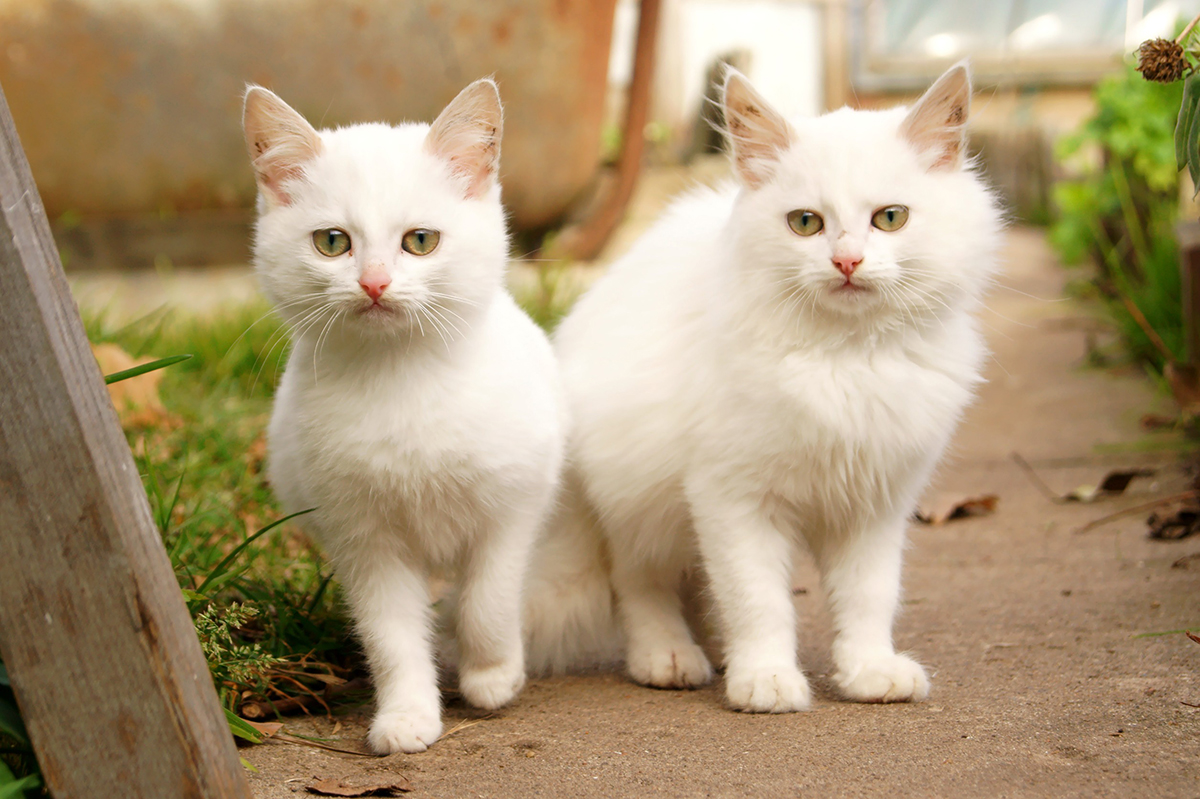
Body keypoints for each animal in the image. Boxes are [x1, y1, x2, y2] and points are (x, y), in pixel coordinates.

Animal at [244, 77, 566, 748]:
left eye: (421, 240)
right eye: (332, 242)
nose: (374, 283)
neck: (401, 380)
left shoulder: (513, 505)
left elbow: (489, 598)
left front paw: (492, 673)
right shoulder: (361, 539)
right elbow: (390, 633)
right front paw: (407, 714)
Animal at [525, 63, 1003, 710]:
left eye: (890, 218)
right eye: (806, 223)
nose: (847, 262)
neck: (845, 359)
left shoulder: (875, 504)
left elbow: (868, 597)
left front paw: (869, 671)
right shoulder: (733, 499)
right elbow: (758, 602)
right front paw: (767, 679)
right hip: (638, 506)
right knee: (640, 585)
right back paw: (669, 657)